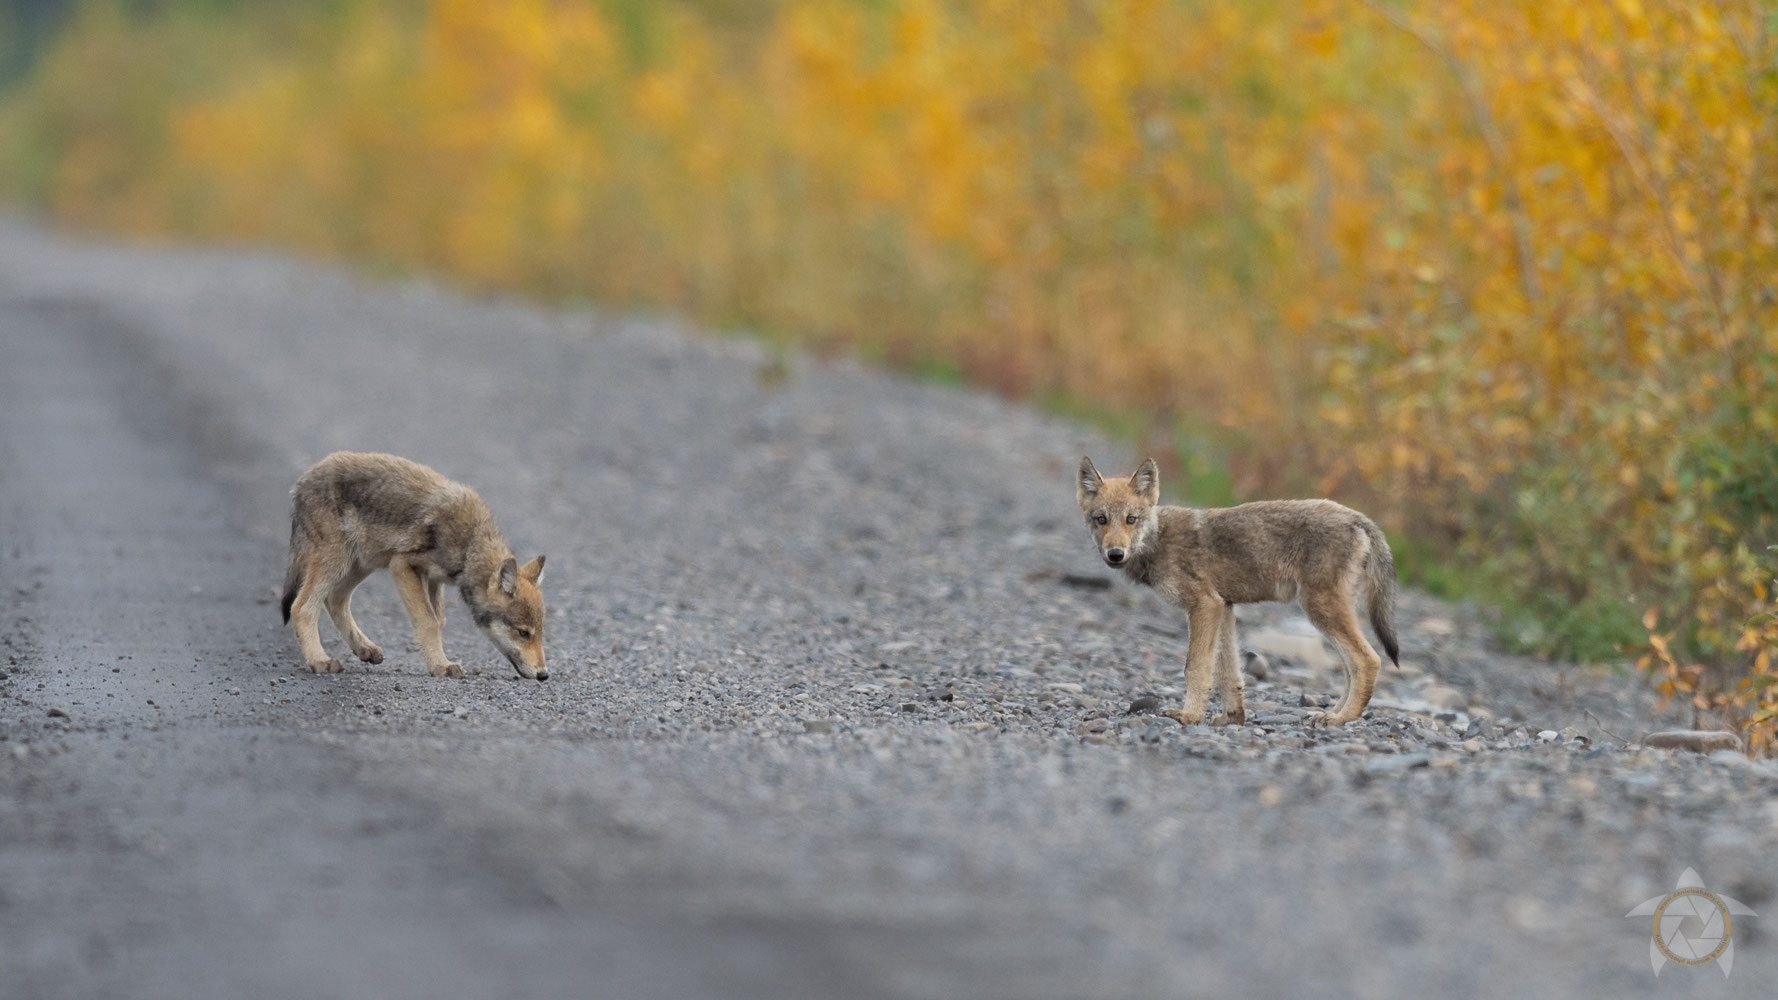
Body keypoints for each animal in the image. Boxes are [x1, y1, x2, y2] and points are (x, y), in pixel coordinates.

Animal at [279, 452, 548, 680]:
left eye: (540, 633)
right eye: (523, 633)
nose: (544, 675)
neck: (469, 546)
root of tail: (302, 480)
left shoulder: (432, 578)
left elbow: (439, 621)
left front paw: (438, 661)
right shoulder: (403, 565)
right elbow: (428, 622)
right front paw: (440, 666)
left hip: (362, 564)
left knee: (335, 600)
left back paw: (364, 648)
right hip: (338, 561)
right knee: (302, 607)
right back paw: (320, 661)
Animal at [1077, 456, 1398, 726]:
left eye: (1131, 519)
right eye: (1101, 519)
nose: (1115, 554)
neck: (1159, 541)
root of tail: (1357, 517)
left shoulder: (1205, 606)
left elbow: (1195, 668)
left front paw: (1189, 716)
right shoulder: (1224, 607)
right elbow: (1227, 672)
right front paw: (1232, 719)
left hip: (1320, 609)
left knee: (1368, 660)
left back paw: (1342, 718)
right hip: (1327, 614)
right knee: (1351, 667)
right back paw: (1333, 713)